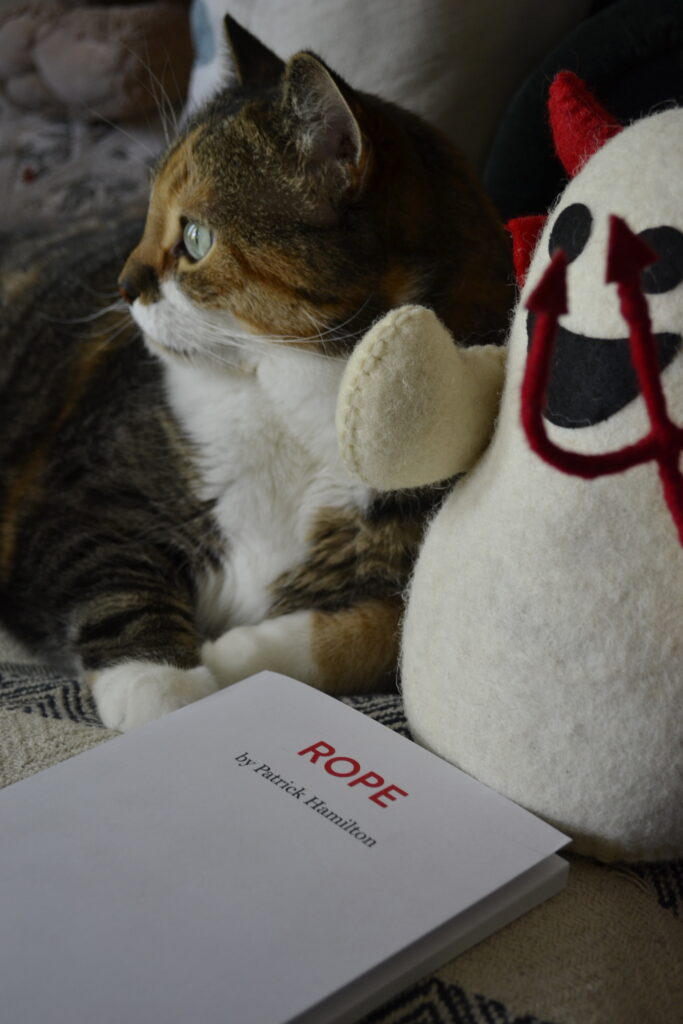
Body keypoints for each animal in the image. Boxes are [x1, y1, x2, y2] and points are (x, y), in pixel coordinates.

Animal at [0, 19, 511, 733]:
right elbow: (116, 582)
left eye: (195, 237)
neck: (289, 402)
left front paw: (234, 656)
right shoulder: (80, 498)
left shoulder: (404, 541)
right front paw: (168, 693)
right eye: (146, 212)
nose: (123, 287)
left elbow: (380, 634)